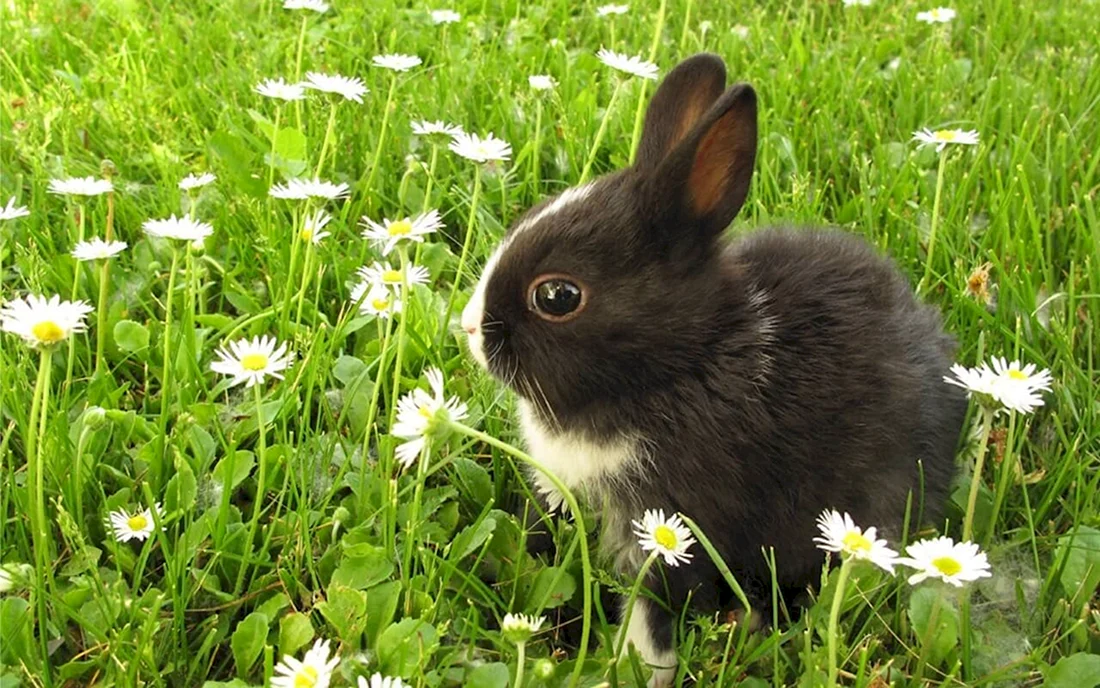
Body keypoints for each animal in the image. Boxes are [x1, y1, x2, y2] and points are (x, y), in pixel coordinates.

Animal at [460, 53, 967, 686]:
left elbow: (652, 610)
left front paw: (633, 670)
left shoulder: (676, 525)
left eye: (557, 296)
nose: (468, 328)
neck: (683, 362)